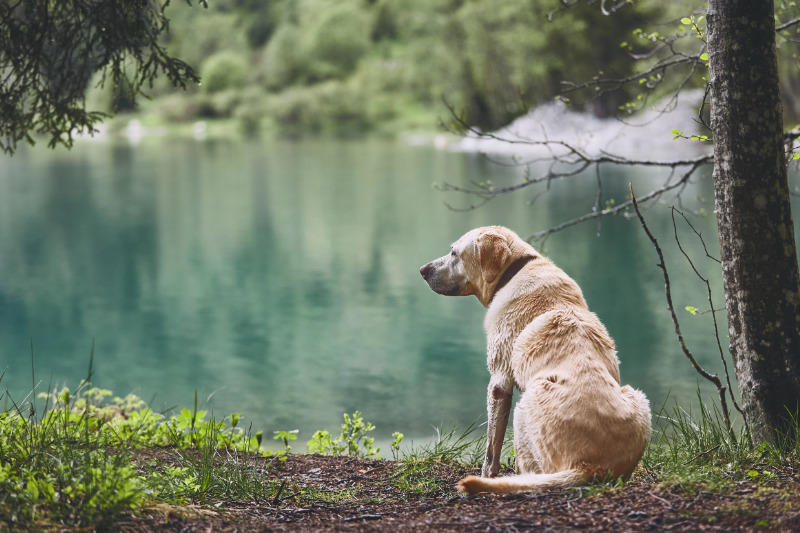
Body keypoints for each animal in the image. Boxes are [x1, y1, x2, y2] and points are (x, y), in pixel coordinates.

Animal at [418, 224, 648, 490]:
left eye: (454, 253)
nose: (422, 270)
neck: (513, 272)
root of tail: (590, 467)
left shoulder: (499, 383)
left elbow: (492, 447)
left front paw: (487, 473)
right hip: (639, 398)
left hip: (523, 407)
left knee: (528, 467)